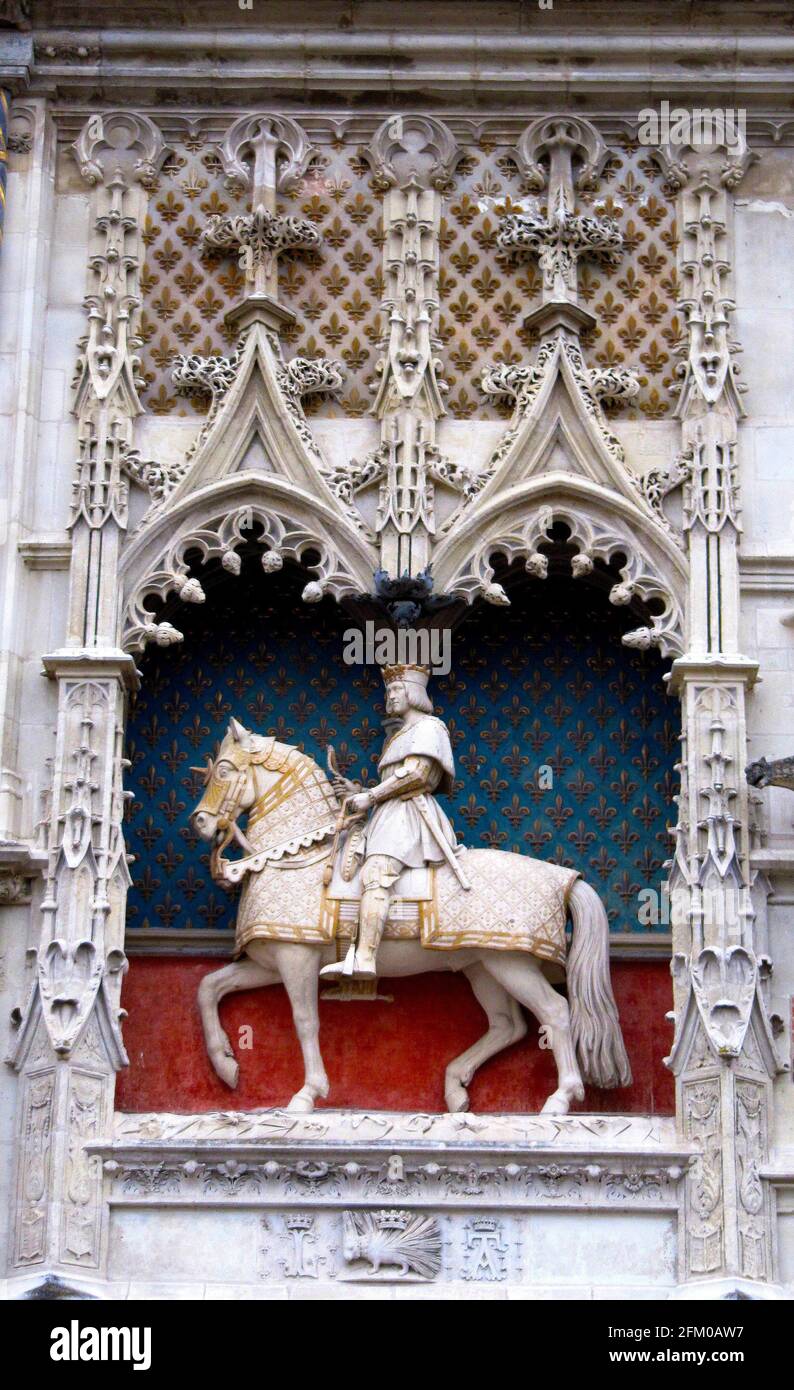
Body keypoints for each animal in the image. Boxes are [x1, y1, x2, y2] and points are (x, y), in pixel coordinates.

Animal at [189, 722, 631, 1112]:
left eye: (224, 769)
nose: (201, 823)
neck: (297, 859)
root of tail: (567, 878)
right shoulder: (271, 961)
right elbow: (209, 987)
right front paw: (226, 1065)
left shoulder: (297, 958)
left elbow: (305, 1020)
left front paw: (307, 1094)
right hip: (482, 966)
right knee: (508, 1025)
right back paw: (455, 1087)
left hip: (511, 962)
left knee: (555, 1013)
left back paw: (560, 1099)